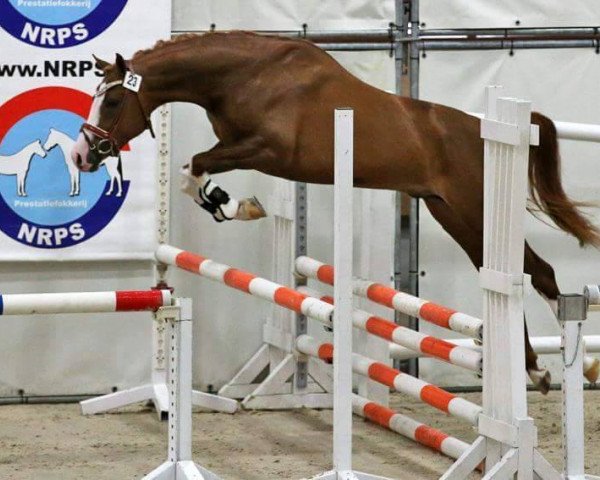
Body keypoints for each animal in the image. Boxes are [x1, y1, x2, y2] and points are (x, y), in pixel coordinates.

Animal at [71, 30, 600, 392]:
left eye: (112, 100)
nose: (82, 156)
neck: (246, 75)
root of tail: (494, 131)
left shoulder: (266, 150)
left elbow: (194, 166)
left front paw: (236, 205)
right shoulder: (243, 149)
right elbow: (190, 174)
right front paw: (229, 203)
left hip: (476, 211)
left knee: (533, 272)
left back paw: (552, 366)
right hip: (451, 214)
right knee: (523, 273)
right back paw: (535, 368)